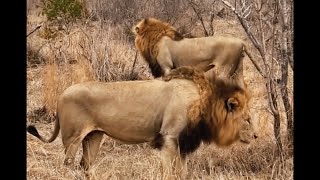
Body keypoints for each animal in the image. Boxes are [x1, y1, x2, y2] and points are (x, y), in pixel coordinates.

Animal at [27, 67, 258, 179]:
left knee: (86, 165)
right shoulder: (169, 138)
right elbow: (169, 172)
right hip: (73, 138)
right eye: (247, 119)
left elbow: (182, 172)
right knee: (67, 164)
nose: (256, 136)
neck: (202, 103)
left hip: (93, 136)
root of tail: (61, 95)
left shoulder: (184, 143)